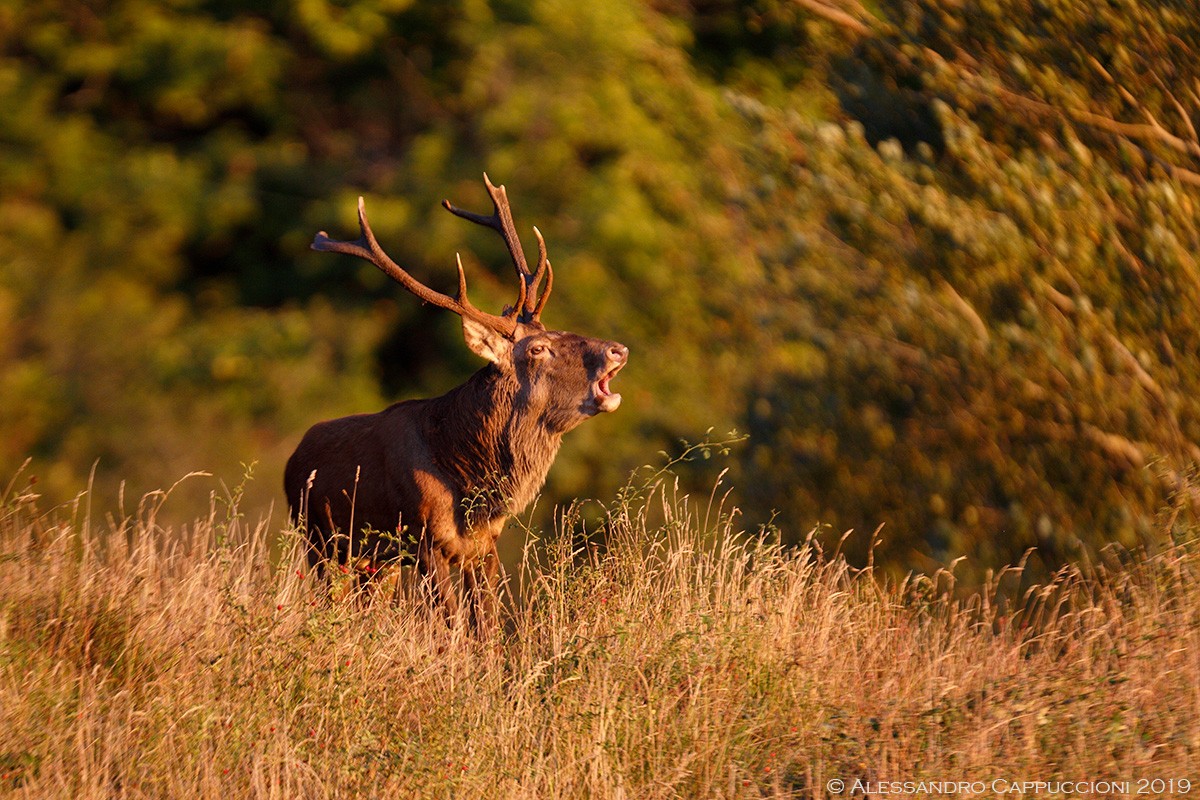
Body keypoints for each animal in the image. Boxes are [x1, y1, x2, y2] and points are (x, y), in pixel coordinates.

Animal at [284, 175, 628, 631]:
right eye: (538, 349)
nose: (617, 349)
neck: (469, 485)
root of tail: (293, 459)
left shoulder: (483, 546)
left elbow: (486, 628)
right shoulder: (424, 540)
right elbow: (455, 629)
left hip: (374, 561)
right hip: (319, 541)